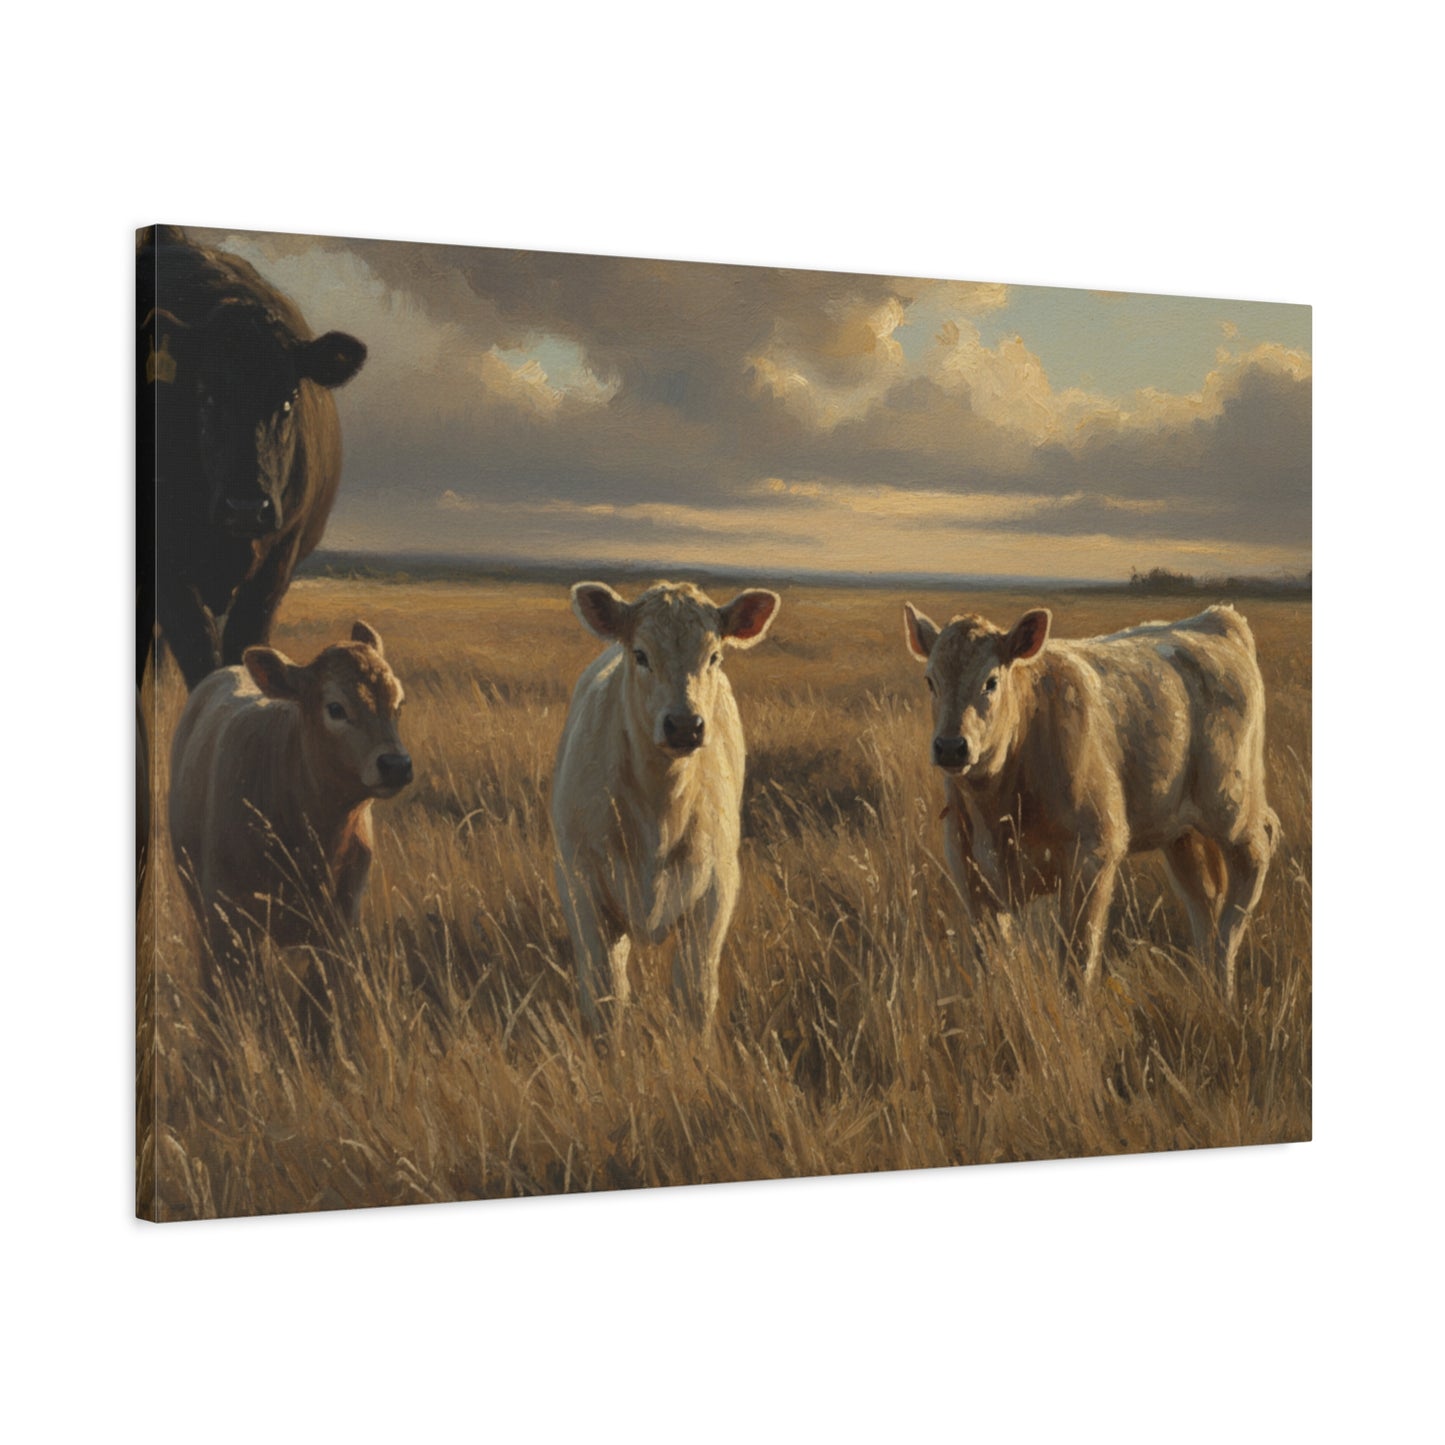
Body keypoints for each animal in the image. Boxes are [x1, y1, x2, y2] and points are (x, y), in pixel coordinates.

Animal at [138, 225, 366, 690]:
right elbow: (201, 657)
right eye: (205, 396)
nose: (246, 507)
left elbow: (243, 649)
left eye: (290, 398)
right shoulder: (168, 570)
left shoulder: (275, 566)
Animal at [168, 621, 412, 1038]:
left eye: (397, 704)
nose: (395, 765)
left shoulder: (339, 923)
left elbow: (319, 1006)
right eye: (335, 708)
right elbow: (244, 999)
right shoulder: (228, 919)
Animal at [551, 580, 781, 1033]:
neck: (659, 812)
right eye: (640, 654)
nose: (685, 726)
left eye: (715, 656)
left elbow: (695, 993)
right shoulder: (581, 885)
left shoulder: (716, 890)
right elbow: (605, 994)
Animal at [903, 601, 1278, 999]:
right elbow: (990, 963)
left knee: (1252, 862)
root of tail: (1216, 619)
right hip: (1180, 830)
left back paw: (1223, 975)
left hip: (1232, 805)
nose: (950, 747)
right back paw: (1209, 985)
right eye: (930, 681)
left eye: (990, 681)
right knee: (1203, 899)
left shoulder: (1094, 853)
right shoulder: (970, 872)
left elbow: (1077, 958)